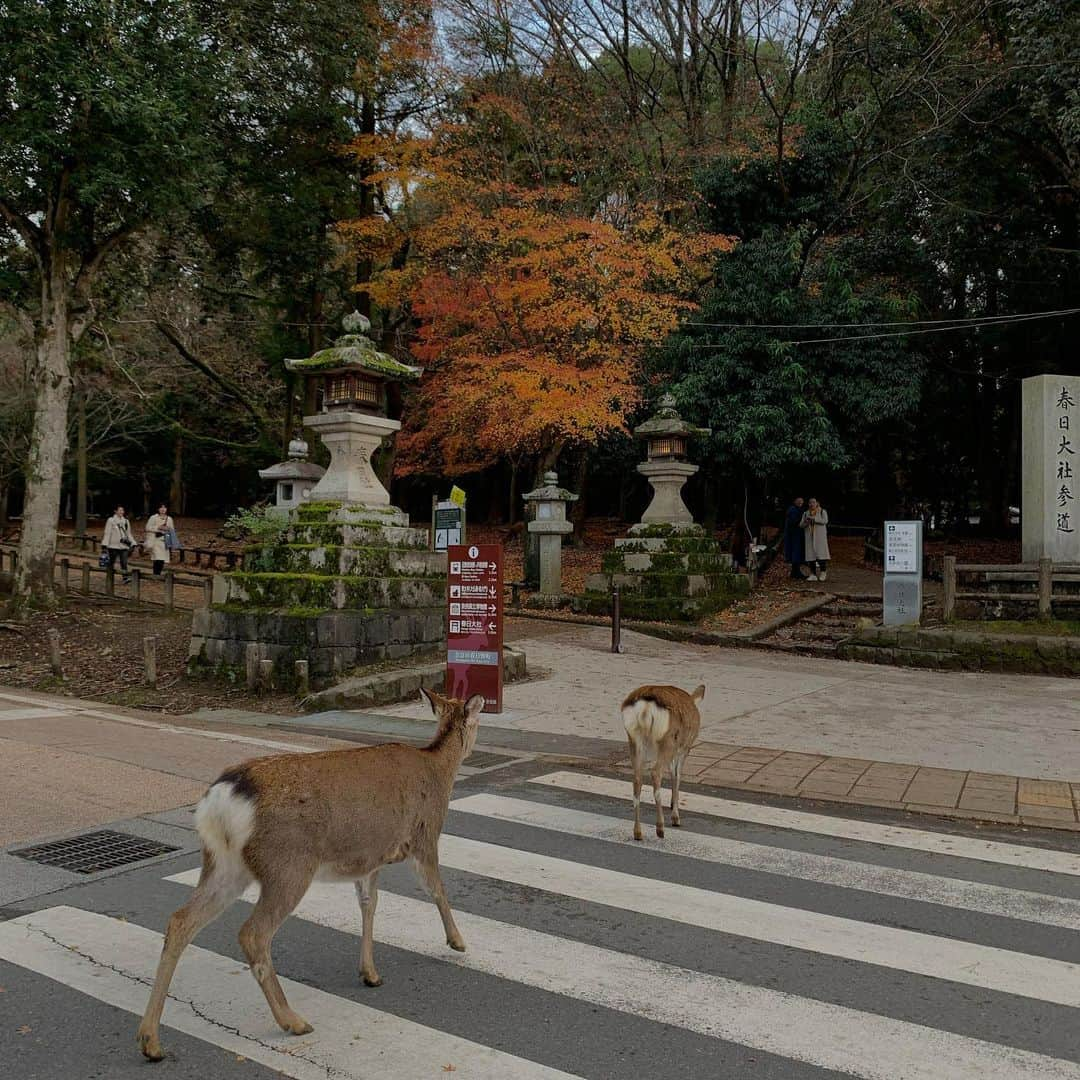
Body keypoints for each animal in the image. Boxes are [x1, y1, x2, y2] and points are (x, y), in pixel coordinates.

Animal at [137, 686, 483, 1058]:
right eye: (477, 719)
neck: (438, 768)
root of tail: (220, 800)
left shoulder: (369, 857)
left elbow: (369, 904)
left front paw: (370, 974)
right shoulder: (424, 836)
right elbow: (437, 889)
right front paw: (458, 942)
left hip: (223, 863)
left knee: (180, 921)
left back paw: (150, 1040)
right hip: (287, 865)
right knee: (253, 933)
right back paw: (293, 1021)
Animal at [622, 682, 704, 842]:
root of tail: (645, 707)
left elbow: (673, 774)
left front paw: (672, 804)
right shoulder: (684, 749)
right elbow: (677, 776)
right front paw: (675, 816)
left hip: (634, 738)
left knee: (637, 778)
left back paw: (637, 832)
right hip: (667, 740)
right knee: (655, 772)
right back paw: (660, 828)